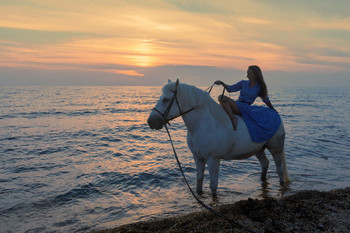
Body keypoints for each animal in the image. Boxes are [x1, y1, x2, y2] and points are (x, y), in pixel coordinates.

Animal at [148, 80, 290, 197]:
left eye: (166, 99)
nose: (150, 121)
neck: (203, 125)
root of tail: (276, 115)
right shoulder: (198, 159)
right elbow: (199, 182)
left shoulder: (213, 160)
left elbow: (213, 186)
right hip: (258, 149)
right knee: (265, 164)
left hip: (275, 149)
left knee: (279, 169)